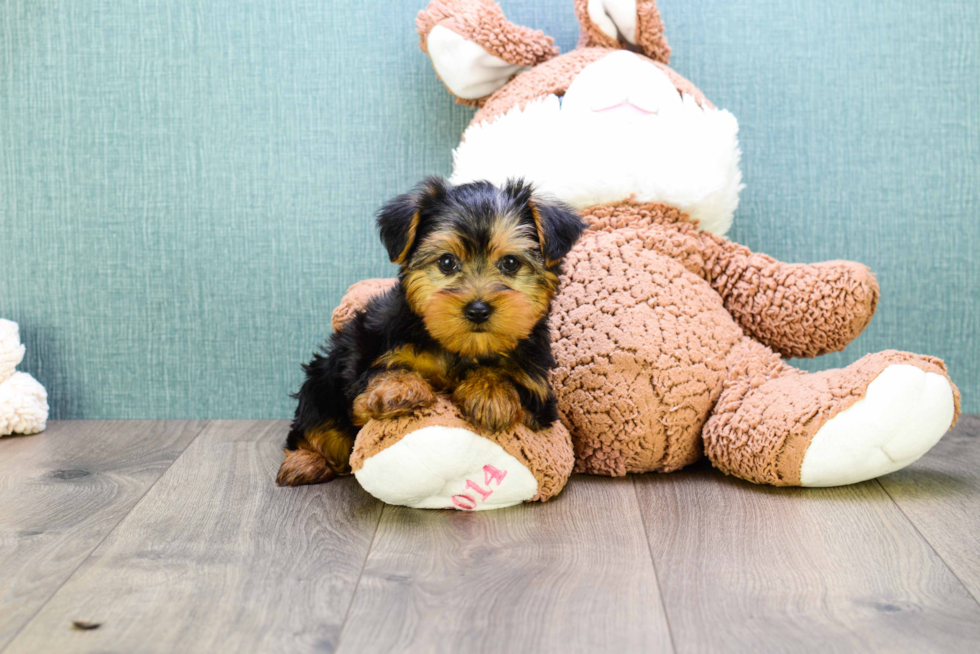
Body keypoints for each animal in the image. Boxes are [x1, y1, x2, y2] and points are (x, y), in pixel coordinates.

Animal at [272, 178, 584, 486]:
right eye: (446, 262)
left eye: (510, 263)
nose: (478, 309)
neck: (463, 348)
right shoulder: (372, 352)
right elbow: (377, 376)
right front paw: (398, 389)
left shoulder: (539, 393)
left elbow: (509, 377)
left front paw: (490, 392)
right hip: (324, 378)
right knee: (317, 427)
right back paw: (306, 461)